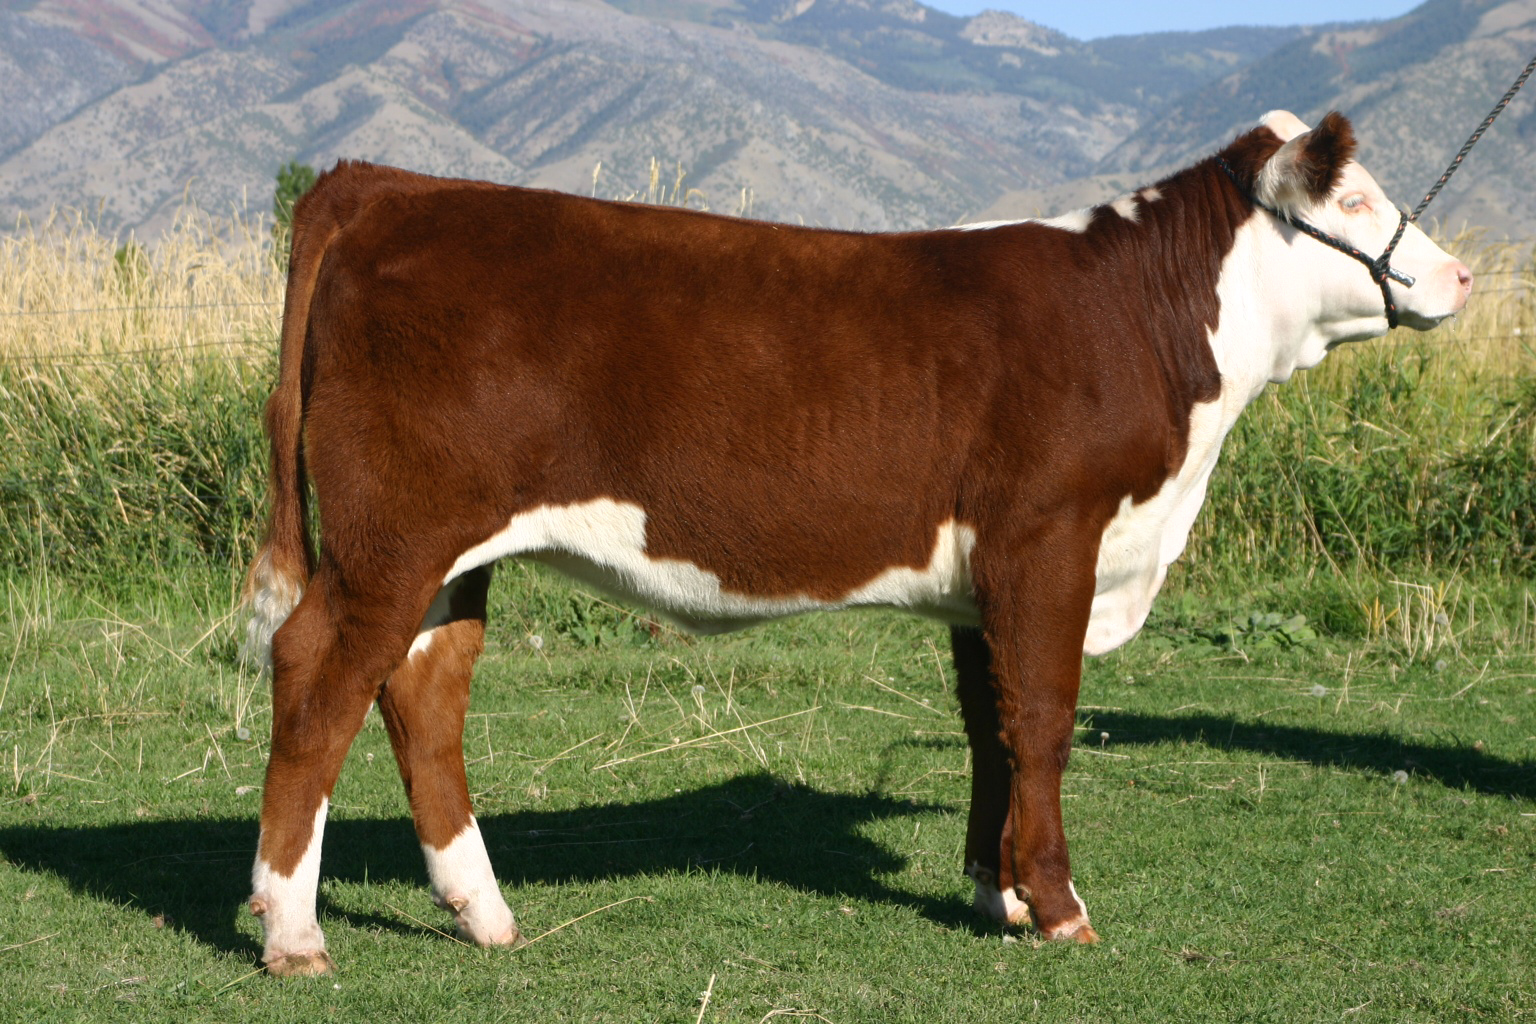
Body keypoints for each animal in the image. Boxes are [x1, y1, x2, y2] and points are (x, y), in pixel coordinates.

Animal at [242, 110, 1472, 975]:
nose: (1462, 275)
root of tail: (385, 184)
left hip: (445, 557)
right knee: (317, 675)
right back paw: (293, 931)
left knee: (424, 692)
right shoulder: (1050, 538)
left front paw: (994, 893)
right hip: (390, 542)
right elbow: (1045, 719)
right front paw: (1060, 908)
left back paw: (484, 913)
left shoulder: (988, 577)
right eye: (1354, 194)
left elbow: (993, 730)